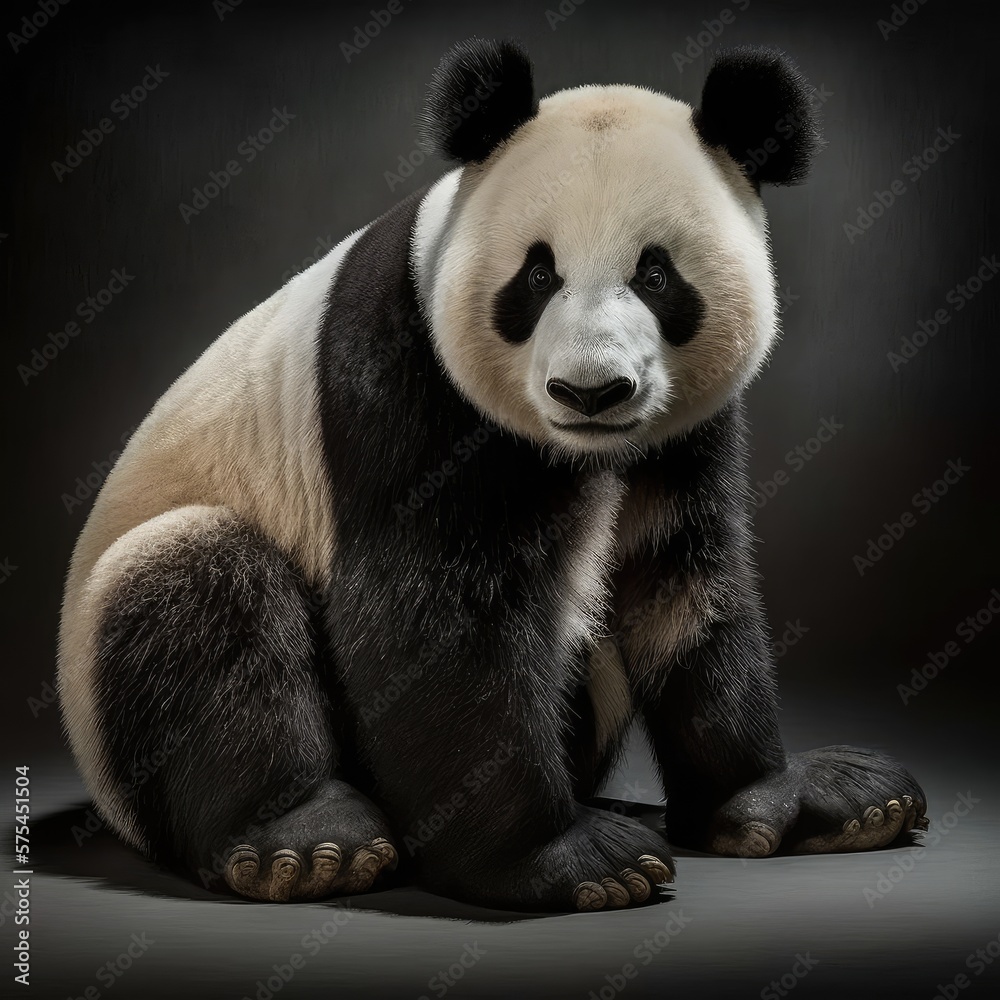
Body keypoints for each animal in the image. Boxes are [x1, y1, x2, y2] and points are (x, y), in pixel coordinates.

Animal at [56, 37, 928, 912]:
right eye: (538, 276)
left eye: (655, 276)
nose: (590, 391)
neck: (581, 451)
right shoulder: (405, 382)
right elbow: (428, 618)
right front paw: (567, 860)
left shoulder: (683, 433)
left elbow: (684, 584)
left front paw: (791, 800)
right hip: (126, 691)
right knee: (197, 591)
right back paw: (307, 842)